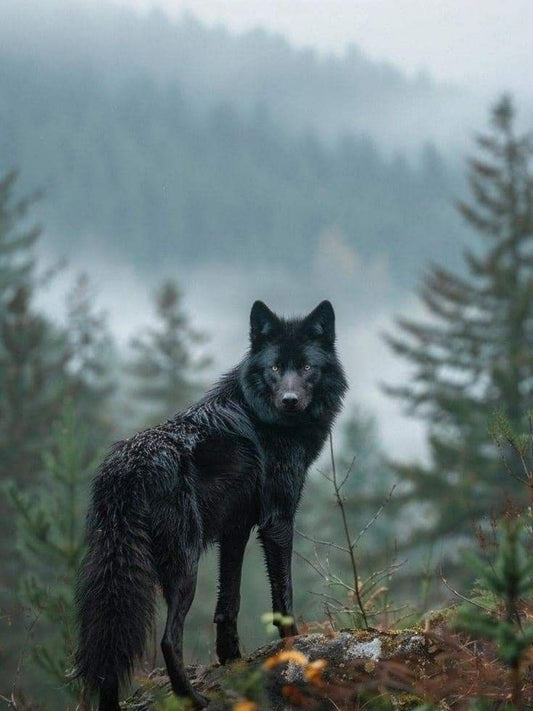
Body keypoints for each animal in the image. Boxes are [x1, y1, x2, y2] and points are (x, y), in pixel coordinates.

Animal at [75, 300, 347, 710]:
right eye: (274, 368)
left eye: (305, 368)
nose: (289, 401)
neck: (261, 414)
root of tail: (128, 467)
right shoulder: (277, 520)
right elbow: (283, 597)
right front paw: (294, 648)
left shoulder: (235, 530)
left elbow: (228, 601)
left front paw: (230, 657)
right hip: (185, 566)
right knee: (168, 639)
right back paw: (191, 697)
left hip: (115, 569)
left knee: (109, 642)